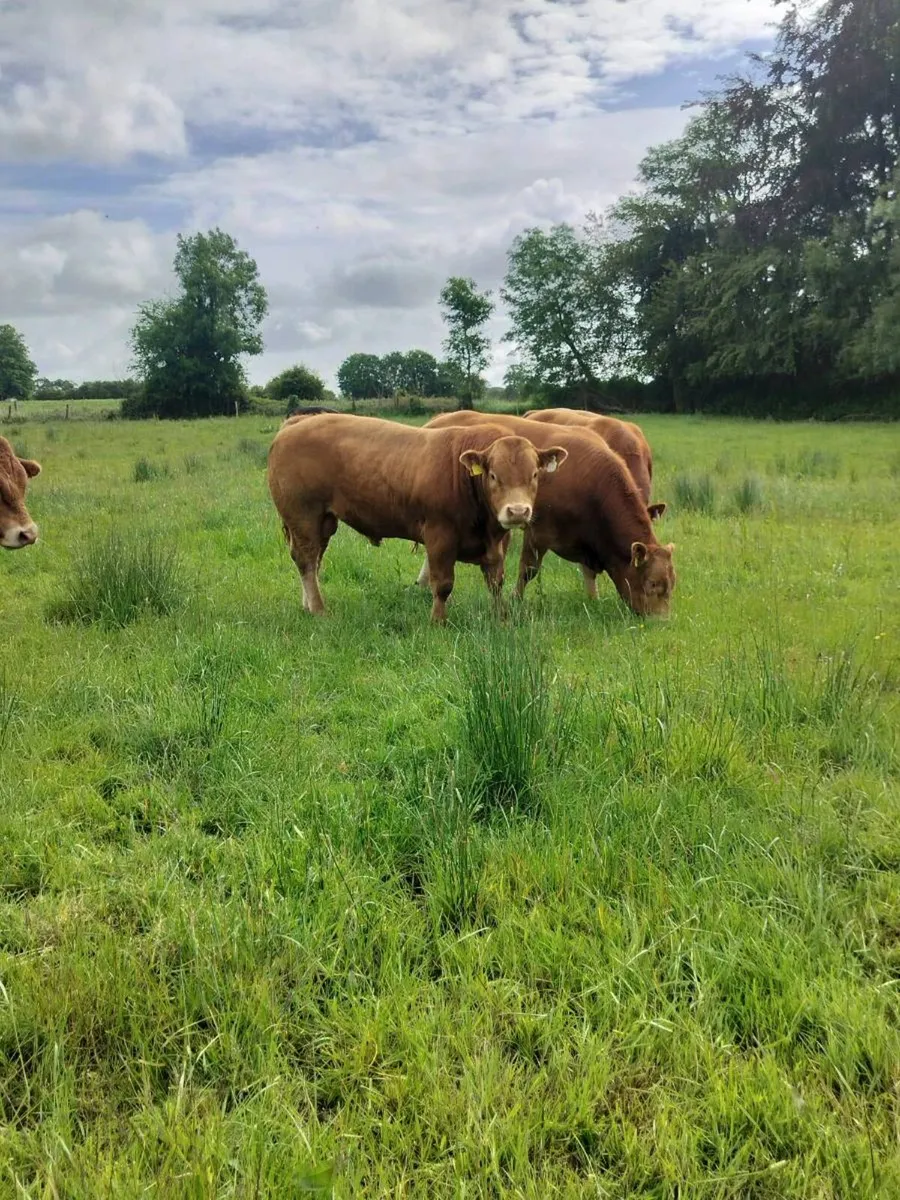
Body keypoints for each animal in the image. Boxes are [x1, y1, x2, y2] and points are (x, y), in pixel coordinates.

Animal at [267, 413, 567, 623]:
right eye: (494, 476)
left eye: (535, 475)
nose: (517, 511)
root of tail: (295, 423)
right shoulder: (439, 535)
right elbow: (443, 584)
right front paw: (438, 621)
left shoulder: (498, 541)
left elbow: (495, 581)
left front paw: (500, 617)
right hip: (303, 515)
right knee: (306, 560)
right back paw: (318, 609)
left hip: (323, 521)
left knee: (314, 560)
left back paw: (307, 605)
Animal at [418, 419, 675, 616]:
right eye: (652, 583)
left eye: (672, 584)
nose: (660, 621)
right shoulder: (538, 531)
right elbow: (528, 570)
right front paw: (516, 599)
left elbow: (588, 572)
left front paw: (593, 600)